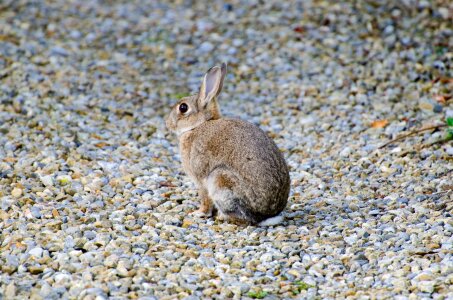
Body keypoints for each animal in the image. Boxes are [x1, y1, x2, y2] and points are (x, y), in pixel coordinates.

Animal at [166, 63, 290, 227]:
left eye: (183, 108)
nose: (168, 123)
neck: (200, 125)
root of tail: (266, 217)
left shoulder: (201, 179)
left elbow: (205, 199)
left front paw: (199, 213)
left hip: (220, 180)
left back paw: (222, 217)